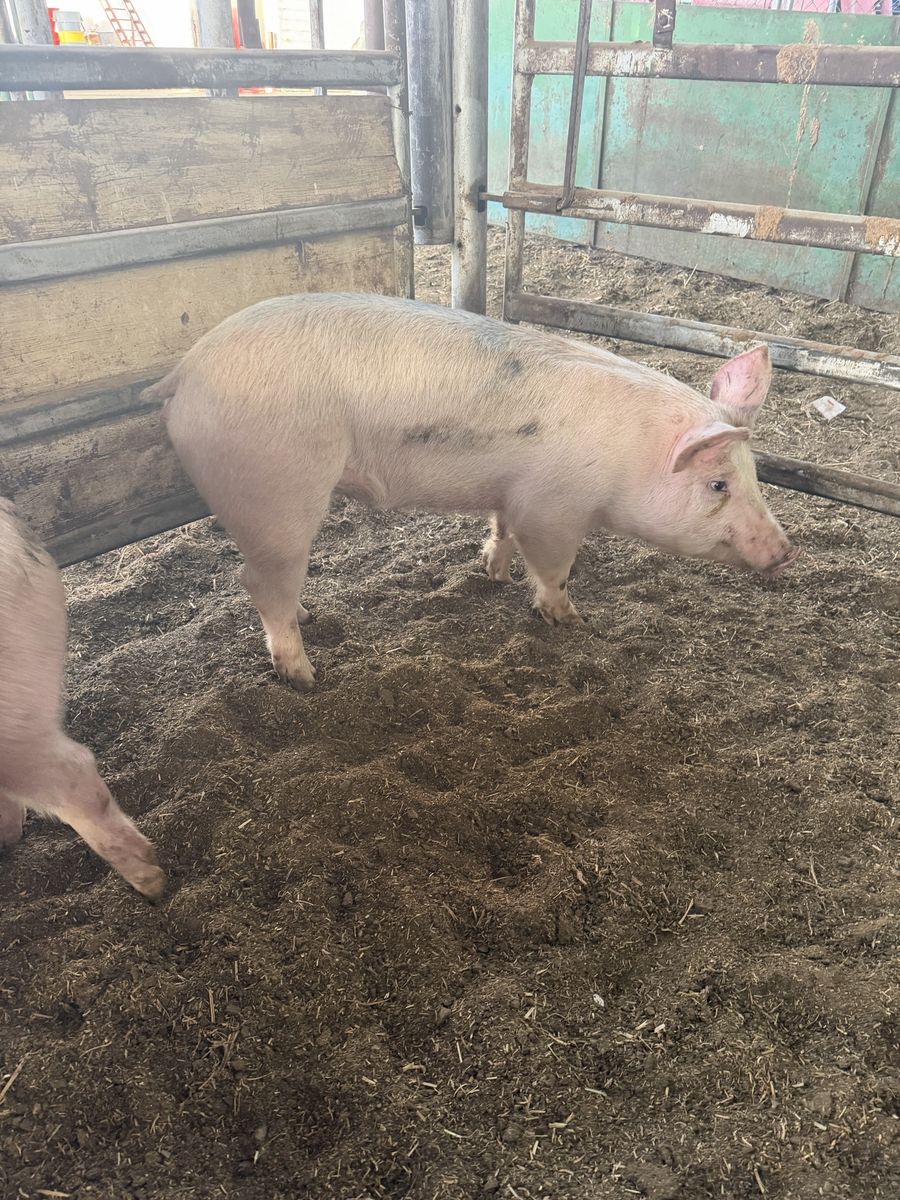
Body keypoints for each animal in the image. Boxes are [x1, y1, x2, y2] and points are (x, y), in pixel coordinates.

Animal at [150, 293, 798, 692]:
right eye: (717, 484)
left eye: (754, 475)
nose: (786, 551)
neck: (628, 458)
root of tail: (185, 372)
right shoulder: (553, 509)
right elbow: (555, 569)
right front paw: (572, 622)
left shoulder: (513, 496)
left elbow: (501, 530)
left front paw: (494, 575)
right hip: (276, 494)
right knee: (258, 582)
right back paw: (307, 677)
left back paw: (310, 617)